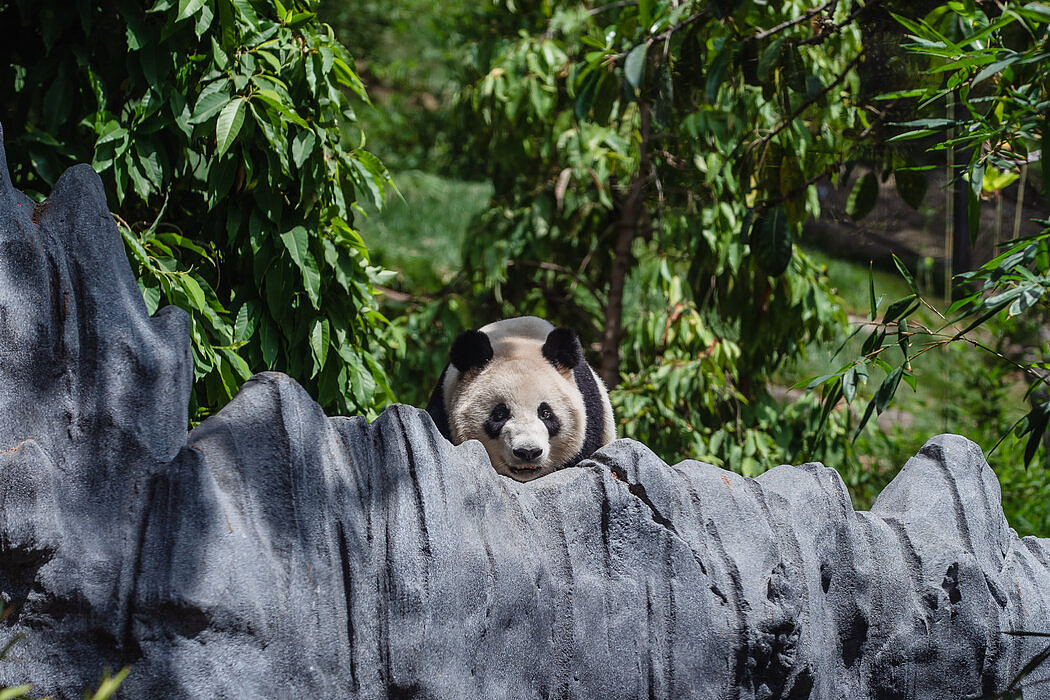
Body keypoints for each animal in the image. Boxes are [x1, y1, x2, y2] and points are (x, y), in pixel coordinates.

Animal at [424, 316, 613, 482]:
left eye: (546, 413)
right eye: (499, 415)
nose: (528, 452)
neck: (517, 341)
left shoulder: (591, 415)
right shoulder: (443, 405)